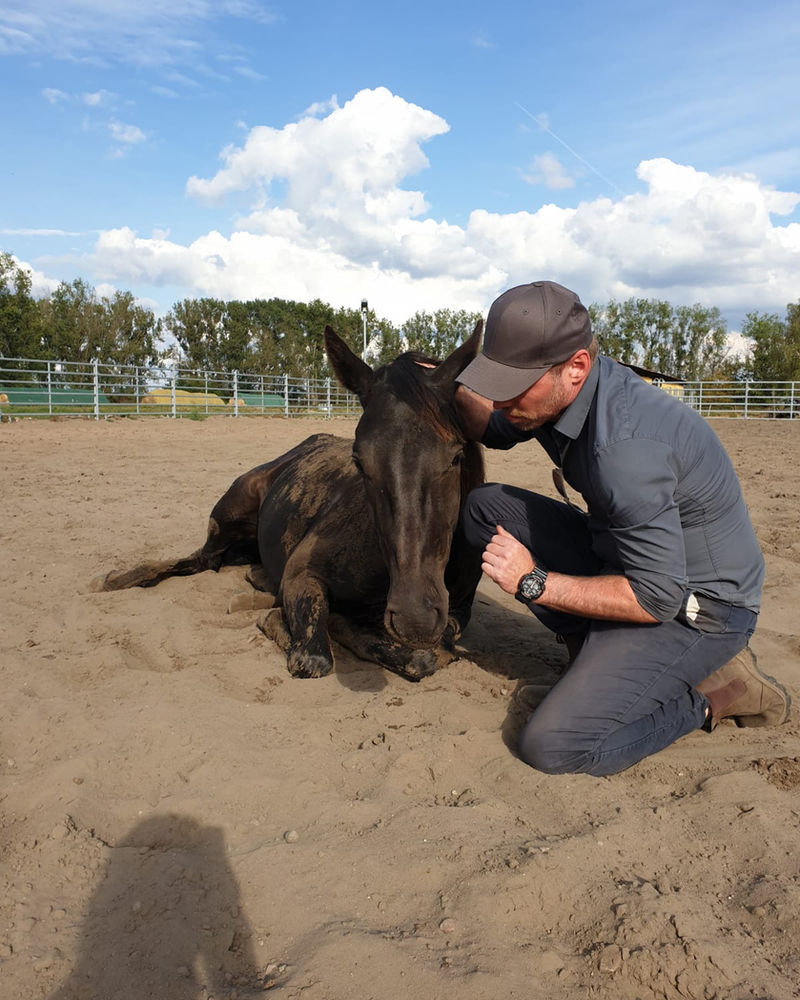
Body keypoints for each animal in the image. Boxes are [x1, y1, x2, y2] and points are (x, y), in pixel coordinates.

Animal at [91, 324, 485, 681]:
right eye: (359, 461)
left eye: (456, 456)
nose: (415, 618)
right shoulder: (301, 575)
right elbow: (314, 657)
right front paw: (282, 621)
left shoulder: (454, 617)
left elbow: (429, 656)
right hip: (227, 516)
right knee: (197, 561)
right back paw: (116, 579)